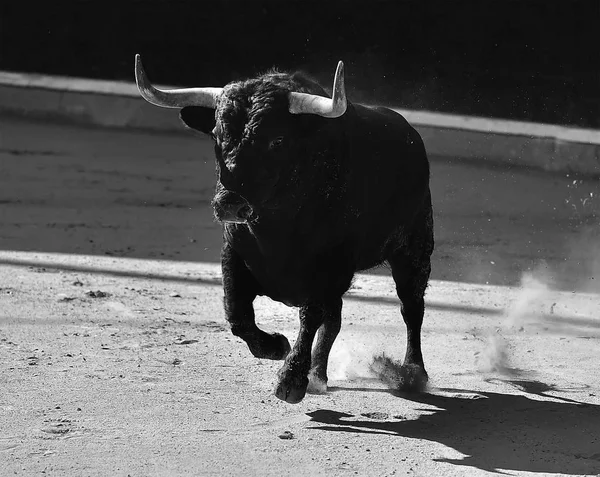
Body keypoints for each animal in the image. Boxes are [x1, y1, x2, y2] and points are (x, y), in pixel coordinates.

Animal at [135, 56, 436, 406]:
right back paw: (318, 375)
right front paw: (276, 346)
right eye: (216, 135)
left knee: (411, 308)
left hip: (414, 251)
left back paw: (413, 373)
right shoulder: (233, 254)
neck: (276, 227)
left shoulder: (328, 268)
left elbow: (309, 317)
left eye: (277, 140)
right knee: (335, 320)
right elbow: (237, 313)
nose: (229, 204)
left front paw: (290, 380)